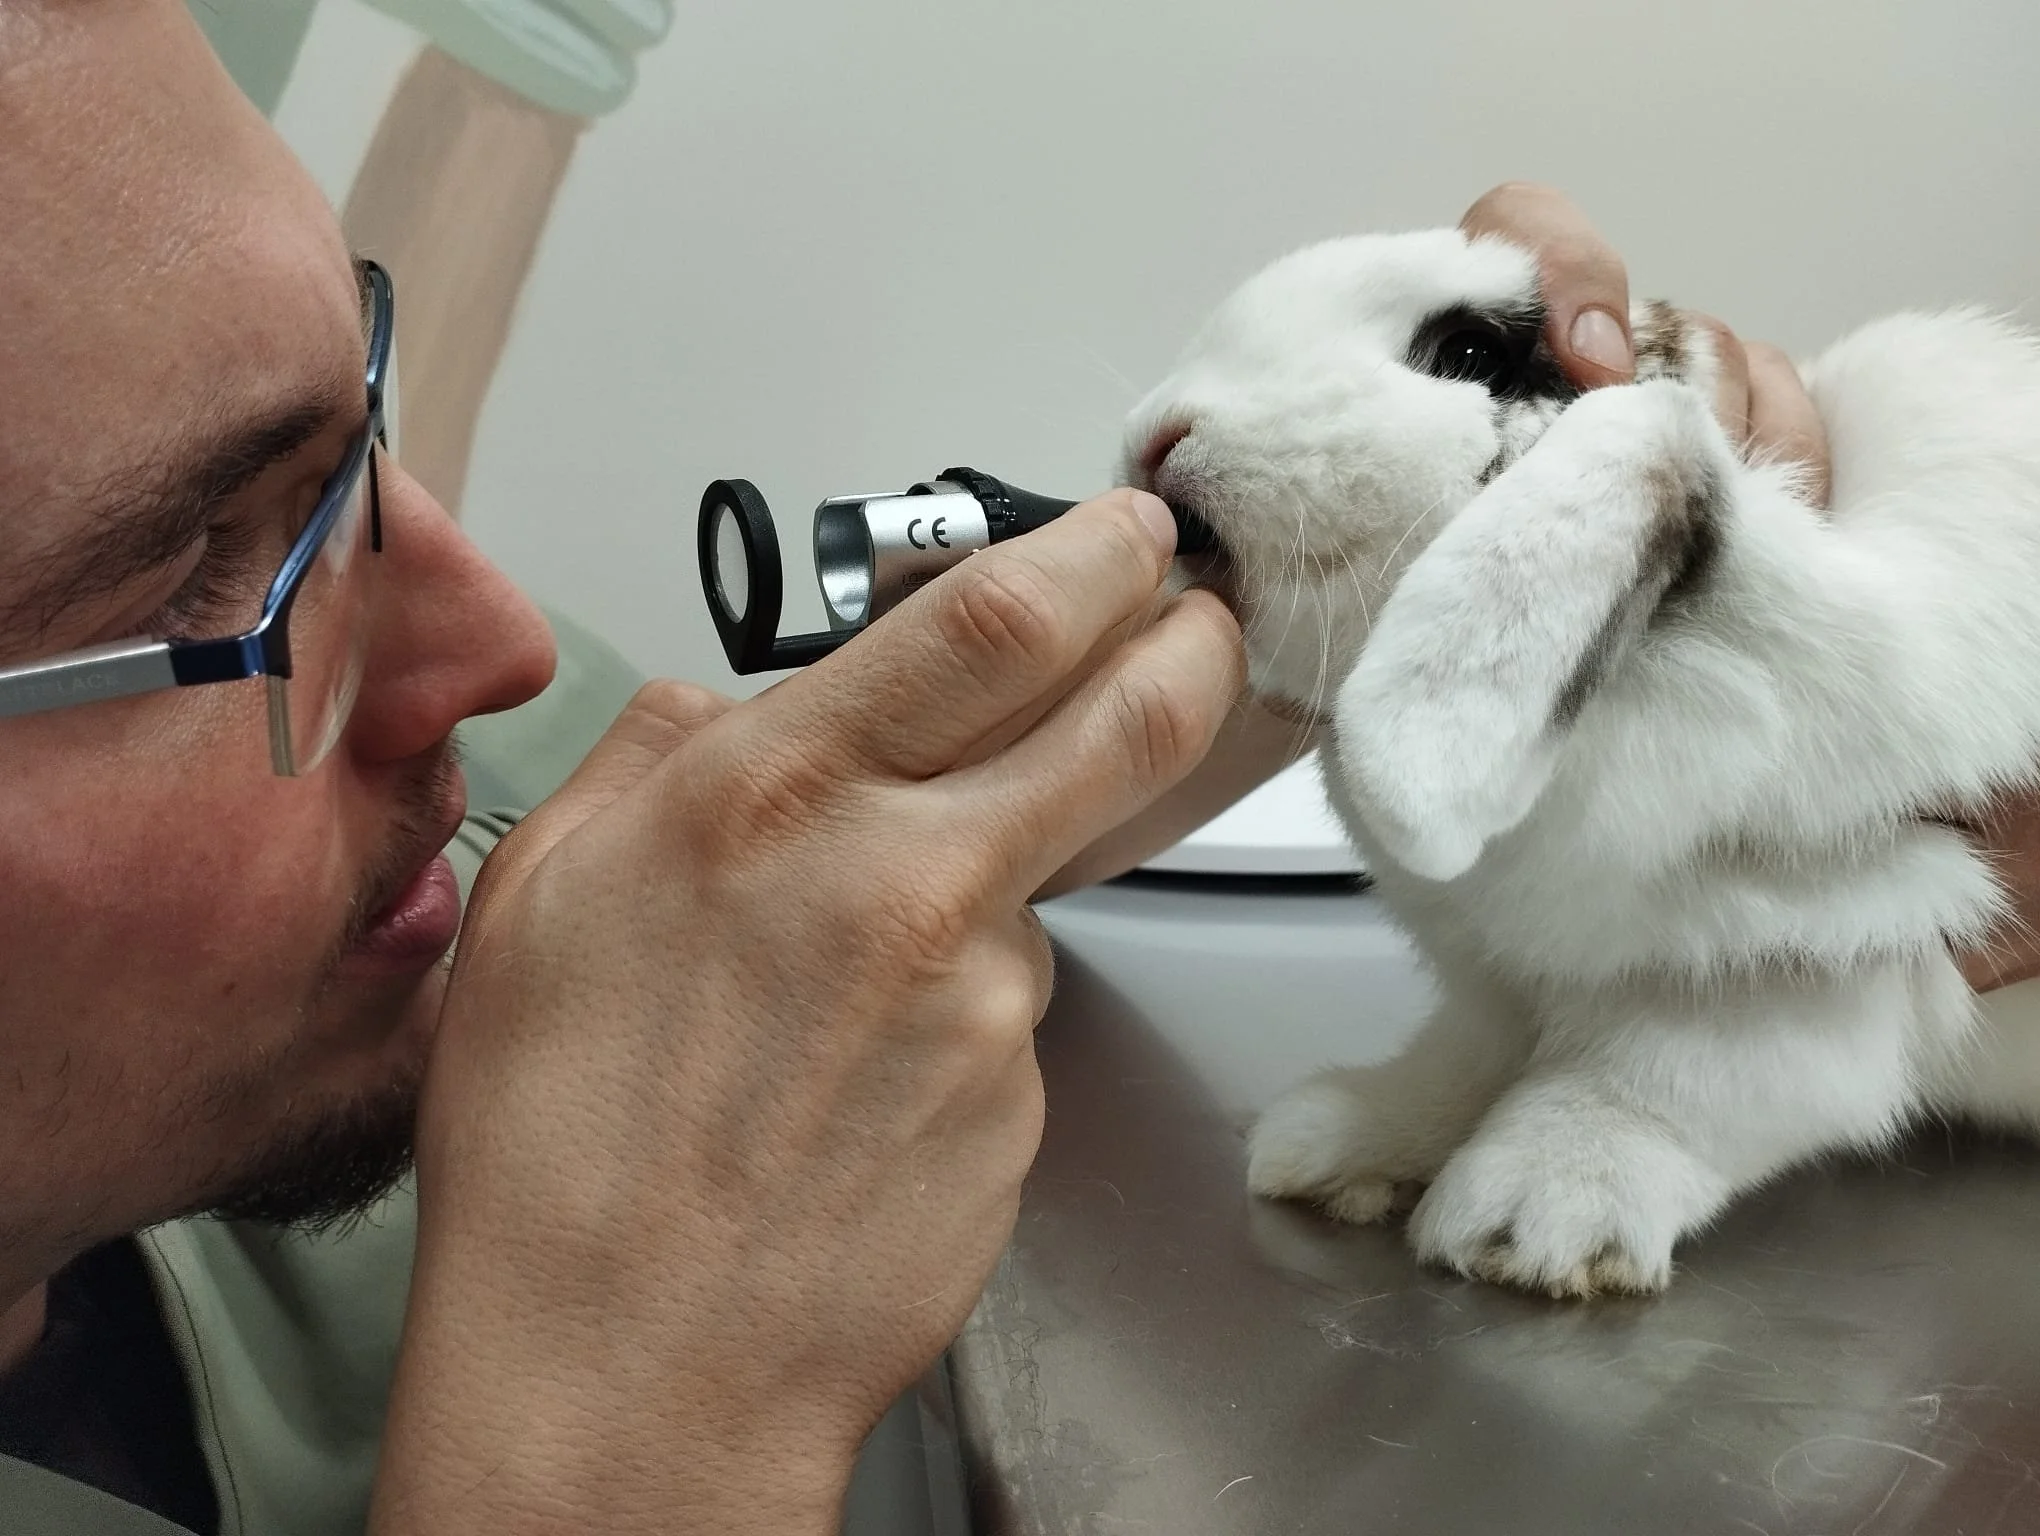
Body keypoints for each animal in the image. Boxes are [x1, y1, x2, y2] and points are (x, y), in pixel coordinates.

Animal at [1121, 226, 2040, 1298]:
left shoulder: (1823, 946)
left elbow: (1667, 1085)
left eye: (1468, 354)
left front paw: (1527, 1221)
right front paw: (1337, 1144)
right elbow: (1463, 1059)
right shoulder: (1498, 983)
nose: (1156, 436)